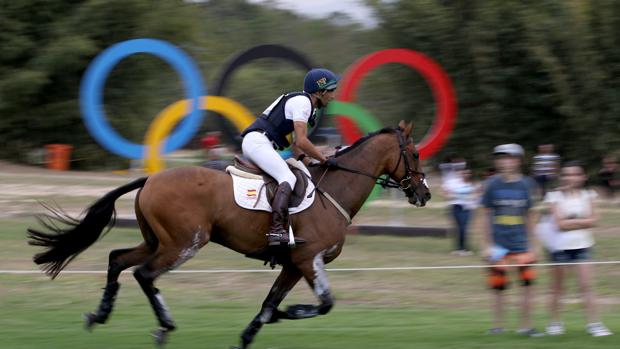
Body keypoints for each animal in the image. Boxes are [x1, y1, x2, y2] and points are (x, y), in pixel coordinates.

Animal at [29, 119, 432, 346]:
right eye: (413, 153)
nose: (424, 194)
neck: (334, 191)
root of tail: (151, 179)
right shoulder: (308, 259)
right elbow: (324, 303)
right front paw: (289, 313)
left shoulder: (293, 265)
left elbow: (268, 304)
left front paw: (251, 334)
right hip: (184, 243)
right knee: (144, 274)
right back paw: (164, 327)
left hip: (156, 240)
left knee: (117, 260)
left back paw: (99, 315)